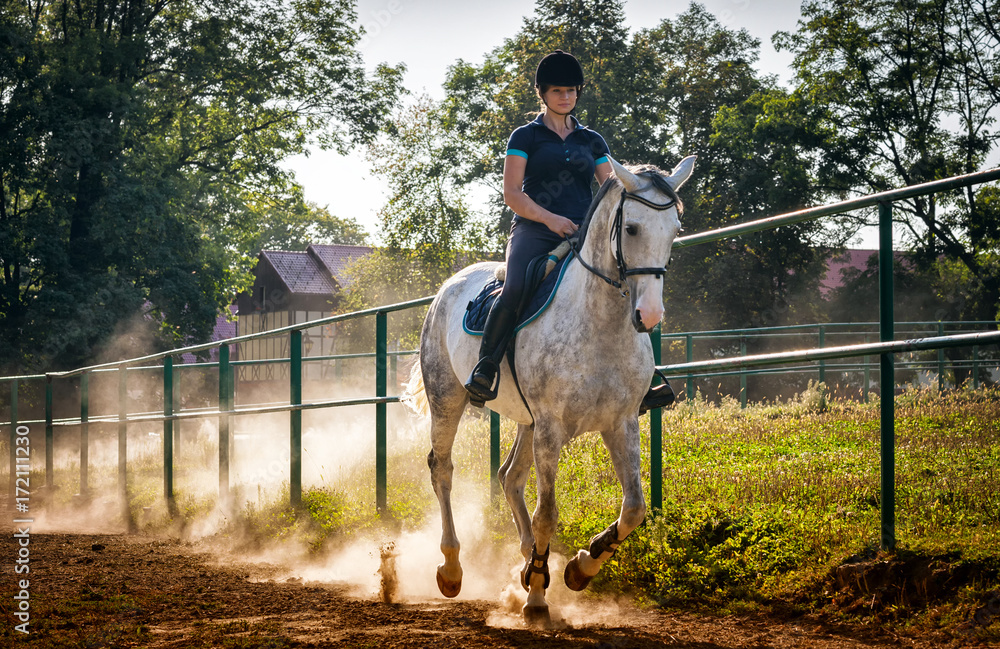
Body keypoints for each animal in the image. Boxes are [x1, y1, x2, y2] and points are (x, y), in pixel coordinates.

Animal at [402, 156, 700, 624]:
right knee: (443, 469)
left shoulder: (621, 423)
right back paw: (453, 569)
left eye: (674, 229)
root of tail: (449, 286)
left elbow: (634, 507)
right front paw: (539, 599)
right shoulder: (551, 428)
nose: (649, 315)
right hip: (449, 400)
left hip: (526, 422)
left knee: (509, 477)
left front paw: (579, 567)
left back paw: (527, 564)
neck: (599, 324)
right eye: (632, 228)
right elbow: (548, 514)